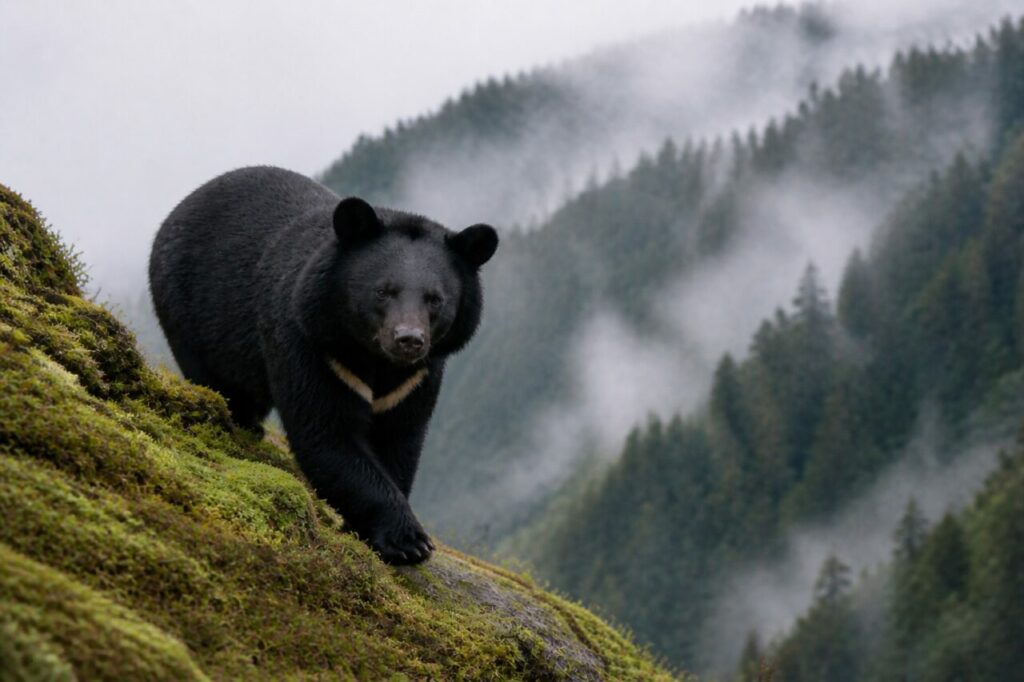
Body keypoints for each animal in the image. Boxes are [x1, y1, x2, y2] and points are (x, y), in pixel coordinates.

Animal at [148, 166, 498, 565]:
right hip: (188, 310)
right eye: (384, 291)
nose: (408, 340)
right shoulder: (313, 345)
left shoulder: (417, 376)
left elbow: (399, 438)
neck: (375, 357)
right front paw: (408, 540)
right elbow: (327, 432)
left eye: (435, 299)